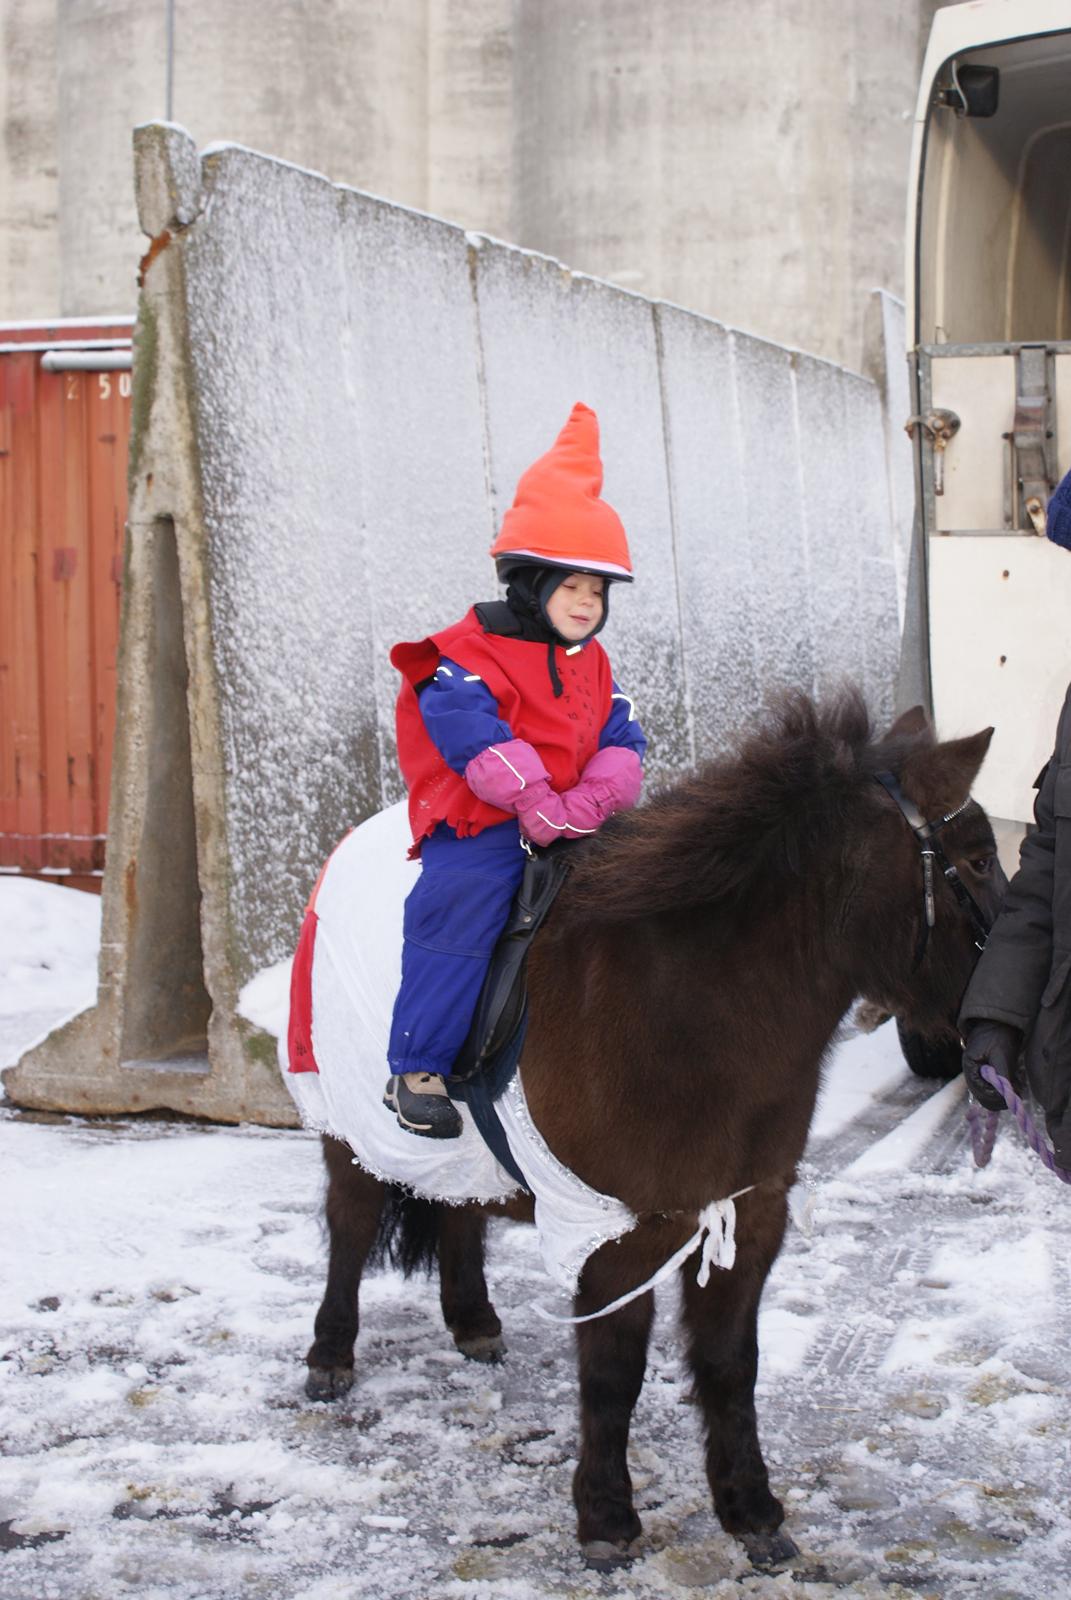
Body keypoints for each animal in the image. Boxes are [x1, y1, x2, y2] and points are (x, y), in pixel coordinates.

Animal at [302, 688, 1005, 1561]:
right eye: (976, 861)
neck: (686, 1005)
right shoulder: (615, 1229)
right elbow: (612, 1373)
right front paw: (606, 1517)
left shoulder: (750, 1210)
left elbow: (731, 1363)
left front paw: (751, 1510)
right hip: (345, 1128)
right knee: (350, 1223)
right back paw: (330, 1355)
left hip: (460, 1157)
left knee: (460, 1212)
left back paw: (474, 1323)